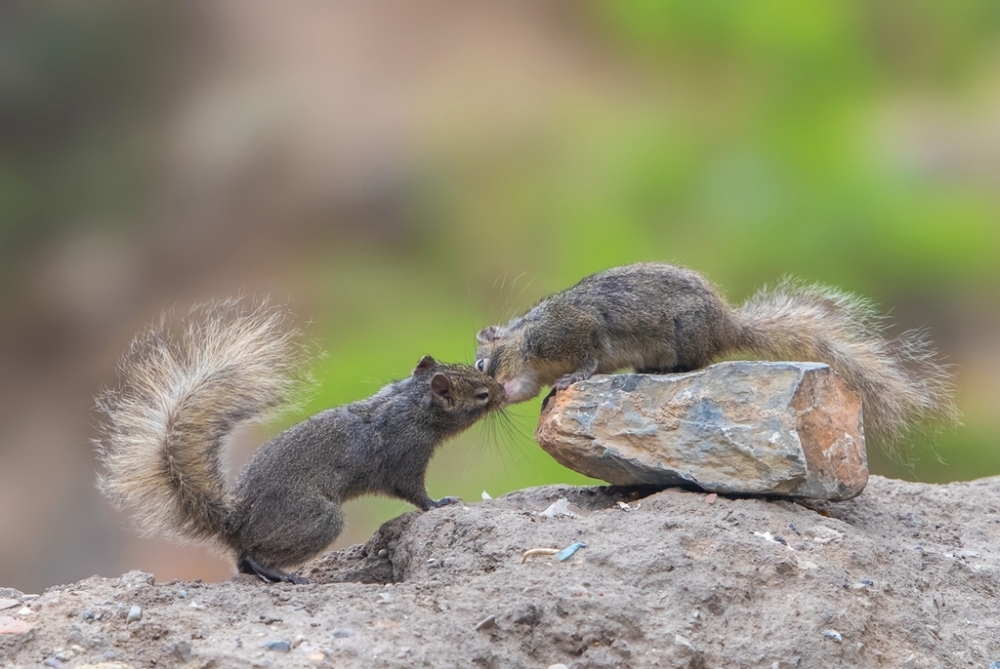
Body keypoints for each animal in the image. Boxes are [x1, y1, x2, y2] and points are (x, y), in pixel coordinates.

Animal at [96, 300, 504, 580]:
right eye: (481, 393)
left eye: (475, 367)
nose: (502, 390)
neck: (410, 403)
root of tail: (237, 522)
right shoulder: (404, 455)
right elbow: (414, 492)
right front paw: (440, 503)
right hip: (317, 520)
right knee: (252, 556)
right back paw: (281, 574)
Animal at [476, 260, 960, 444]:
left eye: (481, 363)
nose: (491, 398)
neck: (527, 343)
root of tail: (728, 325)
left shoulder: (574, 330)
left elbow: (590, 357)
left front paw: (572, 379)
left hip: (686, 336)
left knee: (694, 362)